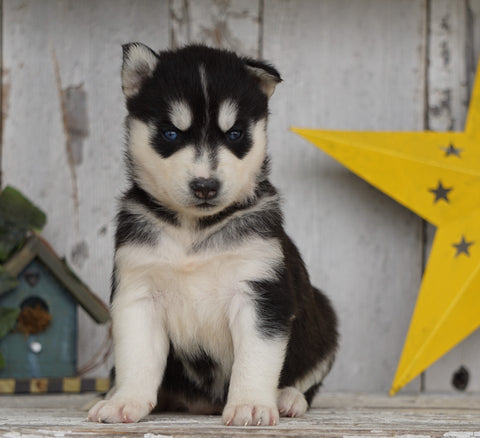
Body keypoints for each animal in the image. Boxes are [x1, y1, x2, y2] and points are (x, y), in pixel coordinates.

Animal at [88, 42, 340, 426]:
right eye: (171, 134)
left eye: (235, 134)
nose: (205, 186)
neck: (193, 230)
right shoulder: (138, 292)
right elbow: (136, 359)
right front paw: (125, 401)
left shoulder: (260, 293)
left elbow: (256, 360)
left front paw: (251, 403)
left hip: (323, 320)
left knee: (307, 380)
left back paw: (287, 397)